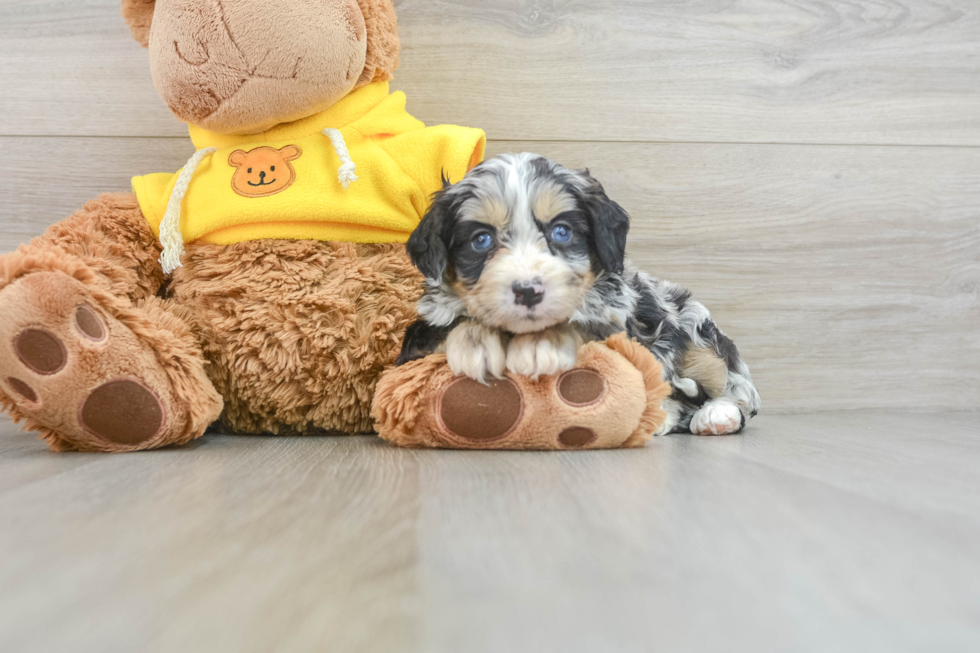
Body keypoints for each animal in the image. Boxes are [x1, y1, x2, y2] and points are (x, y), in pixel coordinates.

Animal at [394, 155, 760, 436]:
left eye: (562, 232)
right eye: (480, 240)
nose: (528, 291)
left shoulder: (618, 327)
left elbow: (581, 325)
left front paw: (542, 346)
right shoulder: (415, 346)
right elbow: (452, 326)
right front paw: (476, 344)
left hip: (695, 326)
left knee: (735, 386)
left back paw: (716, 415)